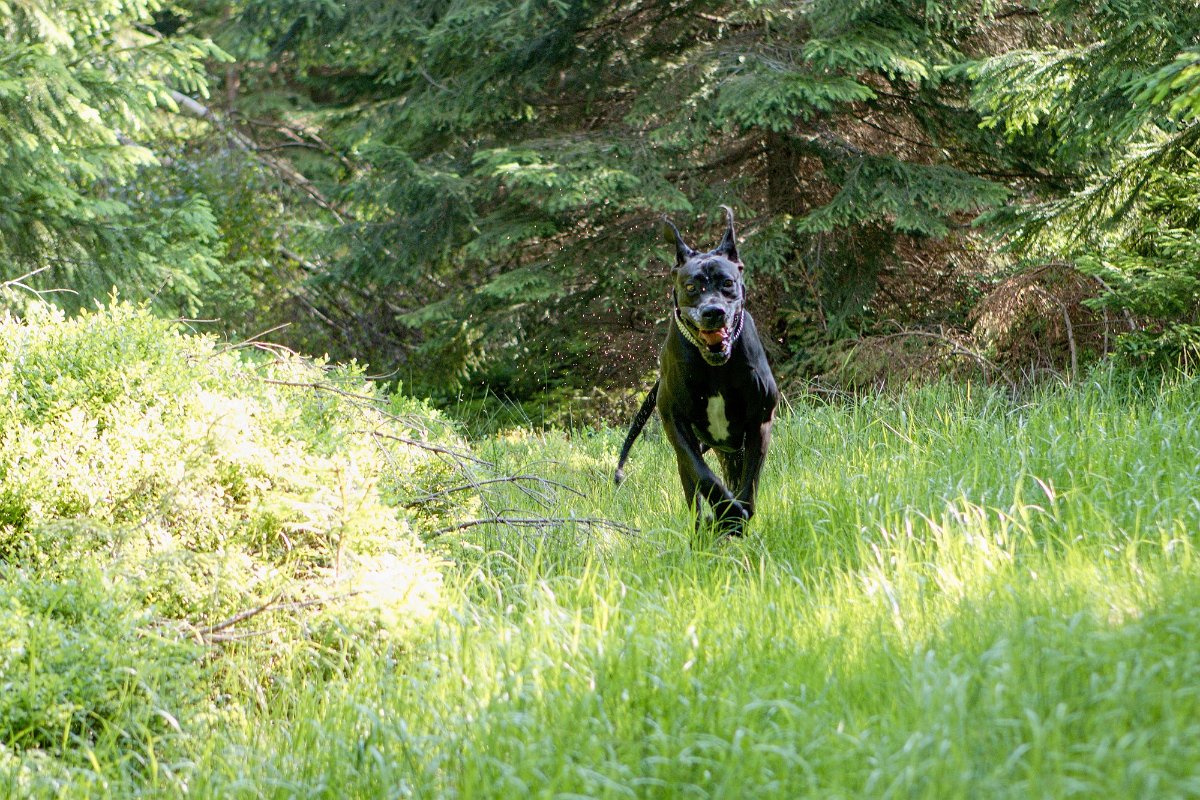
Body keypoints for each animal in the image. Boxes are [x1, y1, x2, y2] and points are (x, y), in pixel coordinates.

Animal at [619, 205, 777, 537]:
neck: (714, 366)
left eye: (727, 283)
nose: (712, 311)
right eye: (691, 286)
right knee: (694, 488)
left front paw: (735, 518)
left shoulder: (759, 422)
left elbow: (749, 485)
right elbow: (705, 477)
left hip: (733, 449)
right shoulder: (676, 424)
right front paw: (725, 515)